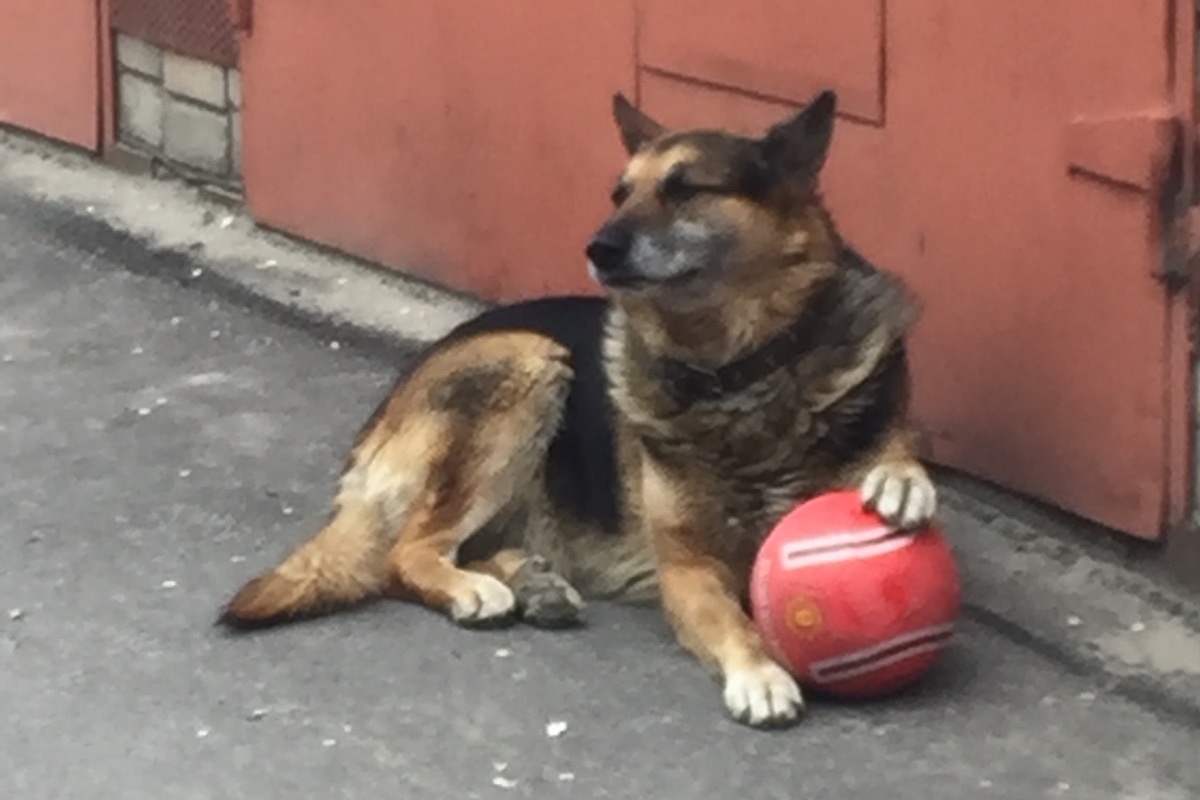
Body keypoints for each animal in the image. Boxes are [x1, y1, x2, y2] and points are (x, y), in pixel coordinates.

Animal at [223, 90, 936, 729]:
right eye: (620, 194)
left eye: (686, 189)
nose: (598, 248)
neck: (742, 368)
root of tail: (388, 408)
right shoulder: (688, 572)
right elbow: (735, 622)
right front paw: (759, 674)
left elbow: (894, 455)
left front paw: (902, 480)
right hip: (526, 361)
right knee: (405, 553)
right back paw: (475, 588)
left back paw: (526, 581)